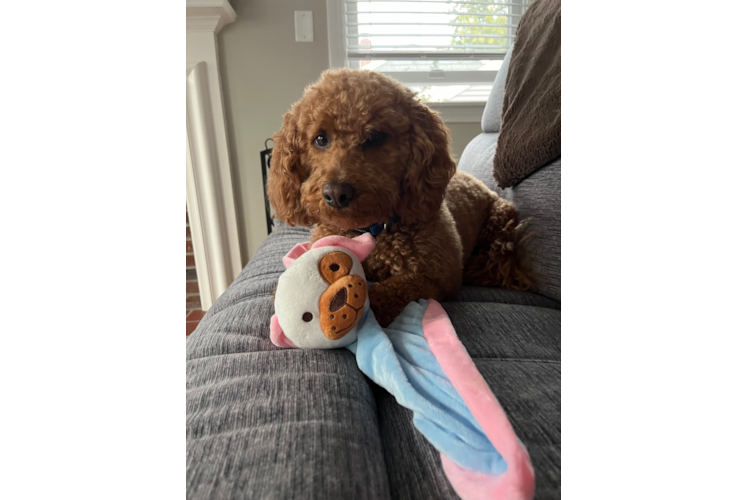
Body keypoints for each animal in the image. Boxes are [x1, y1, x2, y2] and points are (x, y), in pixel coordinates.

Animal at [268, 69, 536, 328]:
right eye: (320, 139)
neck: (370, 230)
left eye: (375, 137)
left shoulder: (438, 279)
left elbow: (397, 288)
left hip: (501, 226)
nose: (336, 193)